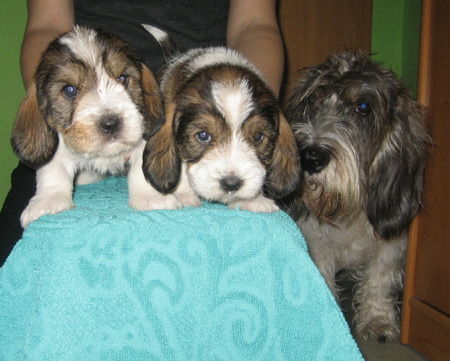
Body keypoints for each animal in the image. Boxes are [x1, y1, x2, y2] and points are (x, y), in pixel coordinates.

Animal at [11, 26, 179, 228]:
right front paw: (48, 202)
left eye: (123, 78)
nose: (110, 123)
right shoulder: (59, 145)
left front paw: (151, 198)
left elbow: (141, 168)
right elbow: (53, 171)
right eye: (70, 90)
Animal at [284, 50, 430, 340]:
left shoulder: (392, 243)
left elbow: (380, 277)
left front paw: (377, 319)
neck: (349, 208)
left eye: (363, 107)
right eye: (313, 99)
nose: (311, 157)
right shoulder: (316, 242)